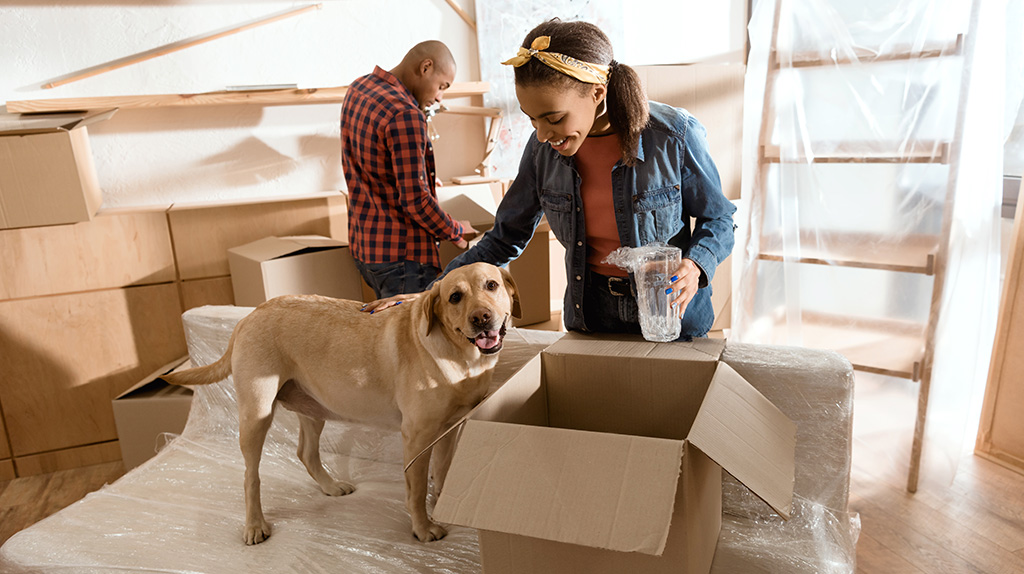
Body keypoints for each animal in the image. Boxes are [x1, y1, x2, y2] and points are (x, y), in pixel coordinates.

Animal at [167, 261, 524, 544]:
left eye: (491, 285)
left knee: (306, 453)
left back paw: (330, 486)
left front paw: (442, 505)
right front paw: (423, 528)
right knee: (250, 476)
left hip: (312, 408)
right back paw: (255, 525)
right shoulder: (417, 437)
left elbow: (444, 471)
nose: (481, 318)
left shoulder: (451, 428)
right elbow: (417, 488)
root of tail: (248, 316)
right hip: (256, 415)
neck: (460, 355)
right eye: (455, 297)